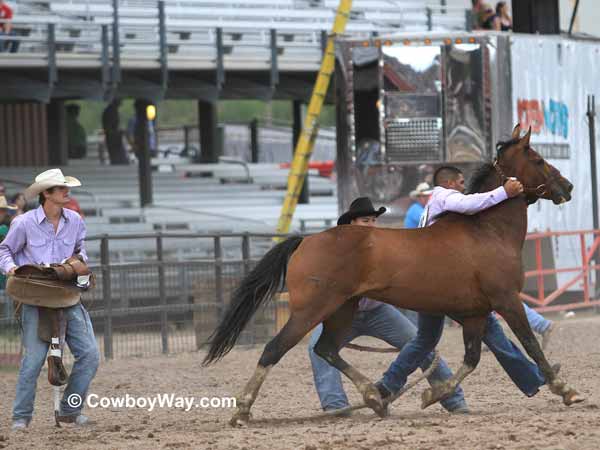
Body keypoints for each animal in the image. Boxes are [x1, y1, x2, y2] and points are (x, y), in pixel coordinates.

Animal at [204, 124, 584, 426]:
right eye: (538, 160)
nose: (567, 187)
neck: (485, 229)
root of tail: (305, 241)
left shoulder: (475, 313)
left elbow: (472, 359)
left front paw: (433, 395)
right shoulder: (507, 301)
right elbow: (531, 346)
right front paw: (567, 390)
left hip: (342, 310)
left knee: (327, 349)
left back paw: (375, 396)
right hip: (312, 310)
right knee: (274, 349)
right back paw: (242, 411)